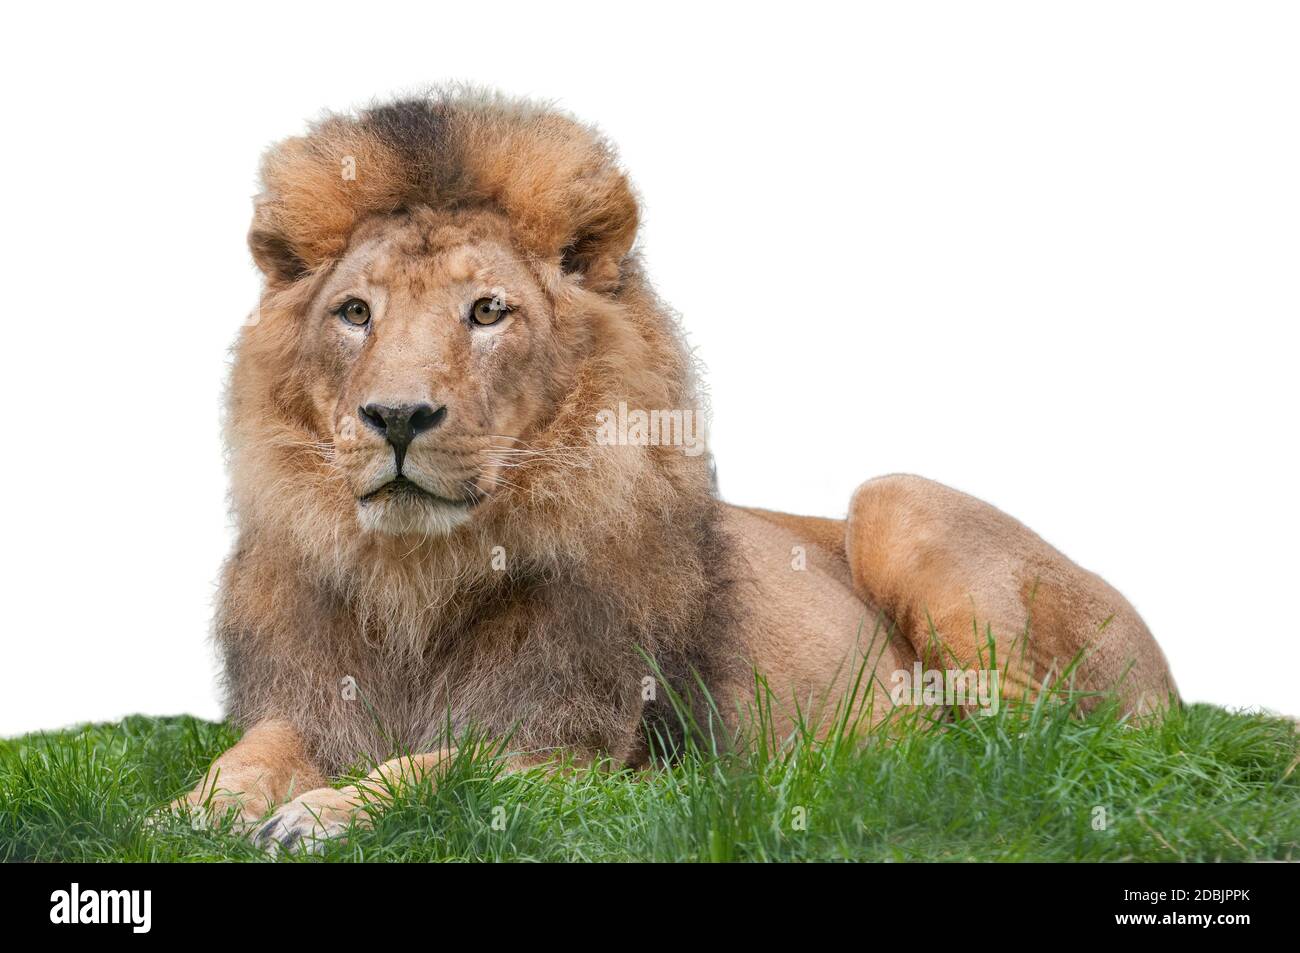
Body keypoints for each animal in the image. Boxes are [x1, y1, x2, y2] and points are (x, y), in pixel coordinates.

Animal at [172, 87, 1180, 847]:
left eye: (488, 311)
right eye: (355, 313)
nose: (396, 417)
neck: (418, 576)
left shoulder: (590, 754)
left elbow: (440, 766)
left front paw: (321, 812)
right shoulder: (311, 702)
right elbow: (248, 753)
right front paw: (195, 808)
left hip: (897, 502)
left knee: (1021, 747)